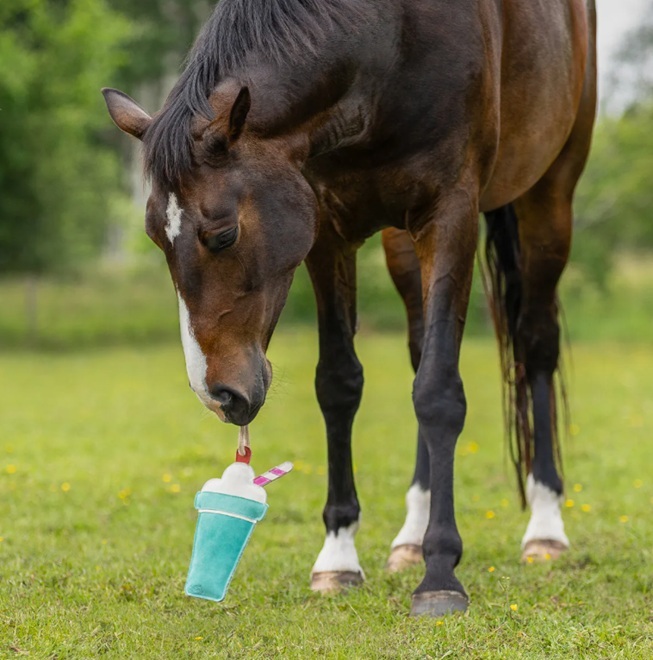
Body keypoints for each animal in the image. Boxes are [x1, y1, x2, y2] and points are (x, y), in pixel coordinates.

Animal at [103, 0, 596, 617]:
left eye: (223, 233)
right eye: (155, 238)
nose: (218, 395)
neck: (388, 44)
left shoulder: (451, 214)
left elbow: (439, 393)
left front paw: (441, 573)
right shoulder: (327, 232)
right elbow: (339, 385)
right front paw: (338, 557)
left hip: (549, 197)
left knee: (535, 345)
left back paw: (545, 526)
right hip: (402, 240)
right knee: (421, 348)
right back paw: (409, 536)